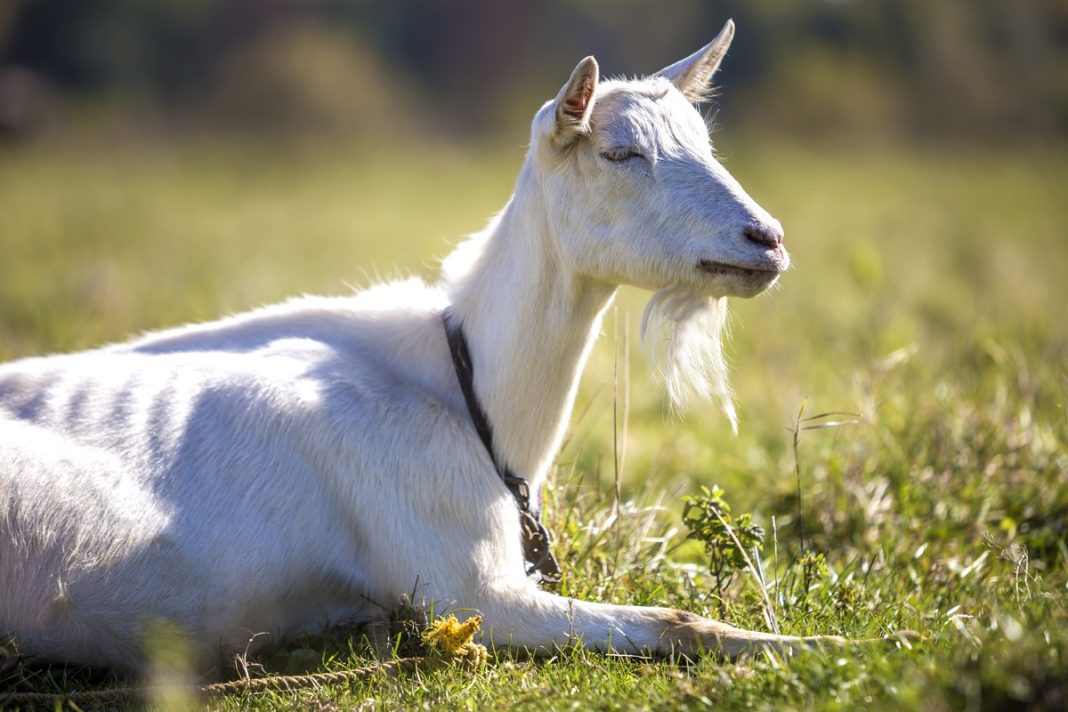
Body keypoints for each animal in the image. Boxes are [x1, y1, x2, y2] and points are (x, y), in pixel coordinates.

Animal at [0, 21, 905, 674]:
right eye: (621, 152)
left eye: (706, 145)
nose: (767, 240)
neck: (466, 388)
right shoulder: (464, 587)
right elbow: (682, 621)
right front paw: (840, 648)